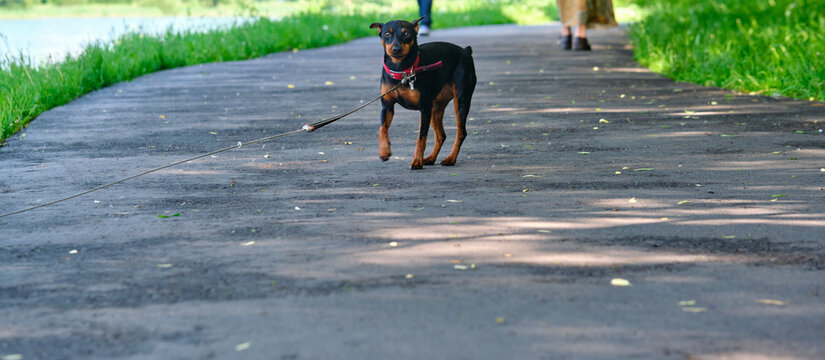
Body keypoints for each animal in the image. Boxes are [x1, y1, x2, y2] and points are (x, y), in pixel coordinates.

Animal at [368, 16, 476, 169]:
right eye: (387, 34)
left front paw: (417, 160)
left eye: (406, 33)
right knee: (441, 135)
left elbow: (422, 138)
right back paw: (430, 158)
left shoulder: (424, 108)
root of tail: (465, 51)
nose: (396, 49)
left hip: (460, 101)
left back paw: (450, 158)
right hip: (435, 107)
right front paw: (384, 151)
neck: (401, 71)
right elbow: (382, 129)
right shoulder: (387, 106)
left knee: (461, 132)